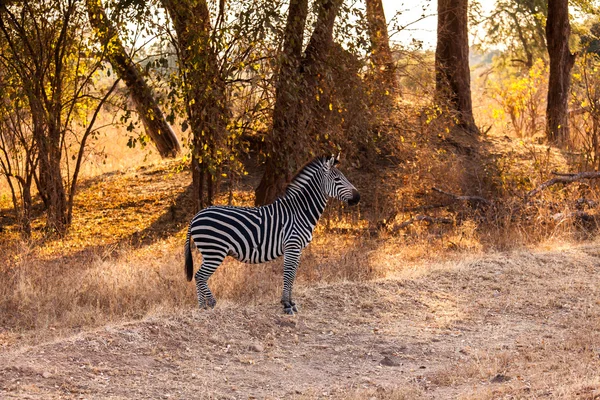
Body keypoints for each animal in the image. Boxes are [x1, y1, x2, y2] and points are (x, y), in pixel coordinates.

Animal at [185, 155, 358, 314]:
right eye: (337, 179)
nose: (358, 197)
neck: (300, 211)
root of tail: (195, 216)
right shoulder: (292, 246)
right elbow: (288, 274)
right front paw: (287, 305)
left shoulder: (297, 249)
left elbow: (292, 275)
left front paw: (290, 303)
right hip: (214, 251)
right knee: (200, 276)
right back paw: (211, 303)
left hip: (208, 252)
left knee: (199, 277)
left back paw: (202, 308)